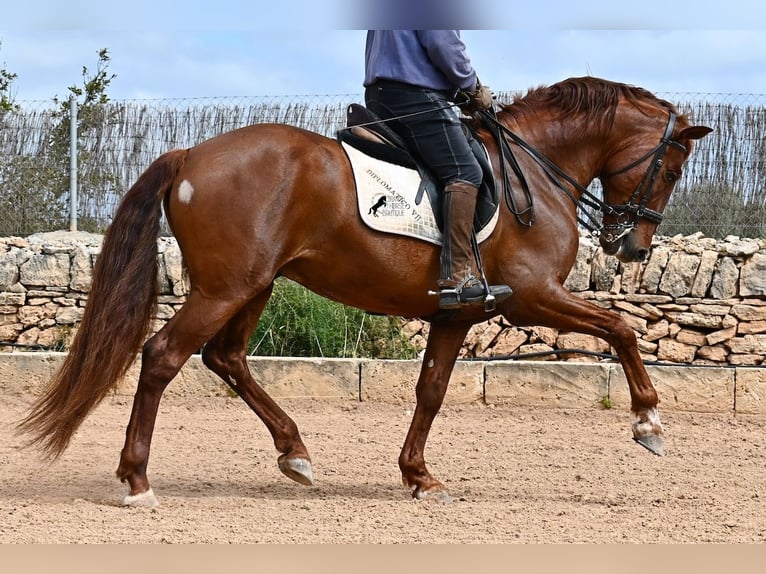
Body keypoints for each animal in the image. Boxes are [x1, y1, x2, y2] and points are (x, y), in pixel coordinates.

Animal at [17, 76, 712, 506]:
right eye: (673, 167)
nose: (633, 248)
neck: (536, 171)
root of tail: (190, 155)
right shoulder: (532, 296)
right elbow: (621, 328)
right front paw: (649, 422)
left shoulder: (458, 313)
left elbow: (431, 391)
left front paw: (419, 476)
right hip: (226, 287)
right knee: (164, 356)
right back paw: (138, 480)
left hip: (254, 285)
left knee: (226, 357)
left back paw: (295, 453)